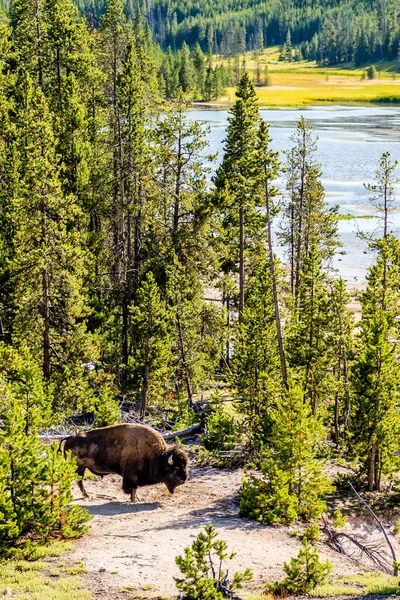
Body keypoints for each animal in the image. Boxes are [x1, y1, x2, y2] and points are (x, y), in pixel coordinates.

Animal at [59, 422, 189, 502]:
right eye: (176, 468)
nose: (183, 480)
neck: (156, 455)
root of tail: (69, 438)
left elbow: (135, 488)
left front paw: (137, 499)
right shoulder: (130, 475)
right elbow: (132, 487)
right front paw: (133, 500)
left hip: (80, 468)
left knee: (77, 480)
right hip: (78, 467)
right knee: (77, 480)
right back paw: (85, 496)